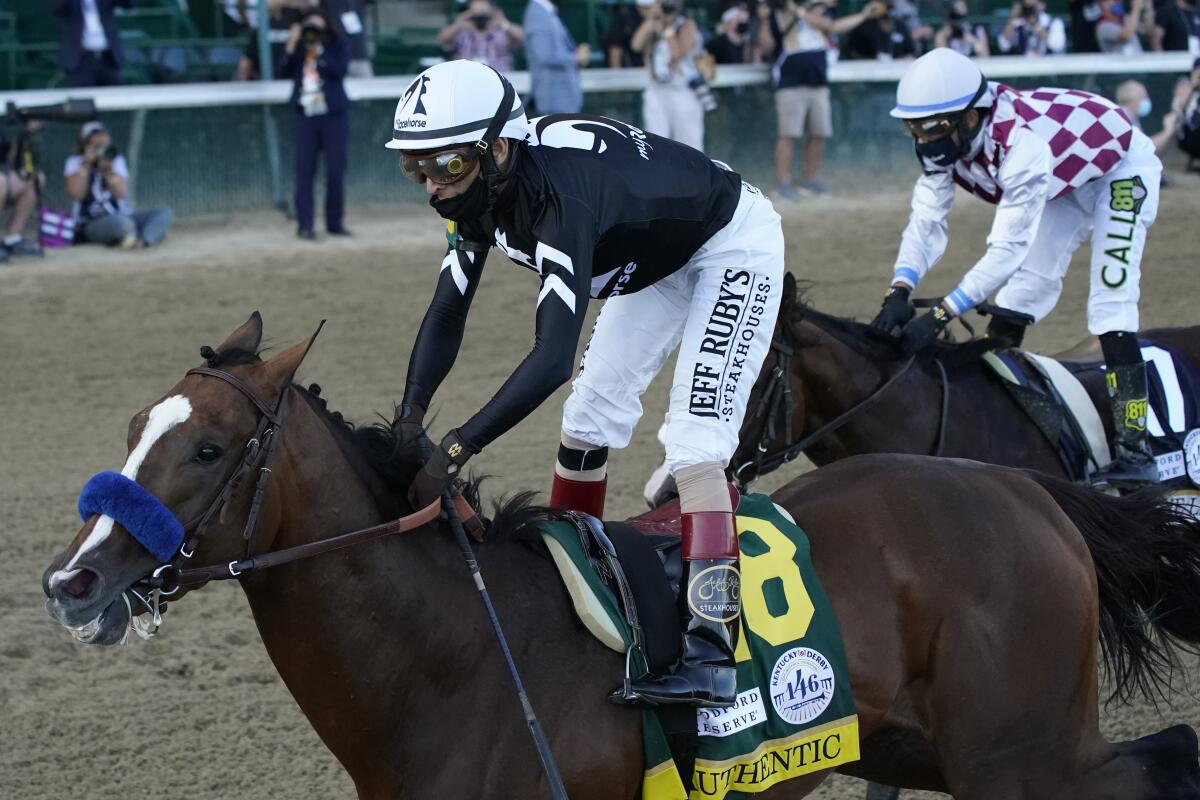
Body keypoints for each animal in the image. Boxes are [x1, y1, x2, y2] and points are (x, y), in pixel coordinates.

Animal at [42, 316, 1200, 796]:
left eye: (206, 447)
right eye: (136, 424)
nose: (70, 580)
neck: (456, 658)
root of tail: (1024, 489)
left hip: (1020, 754)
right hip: (921, 749)